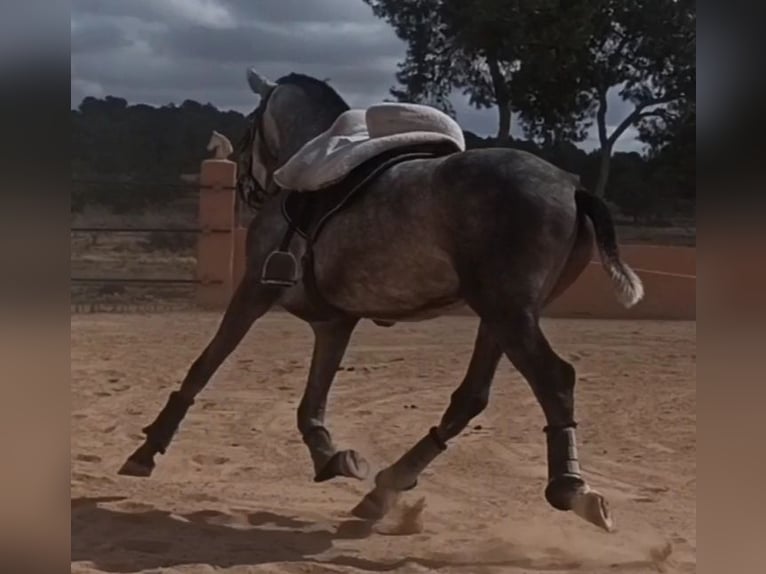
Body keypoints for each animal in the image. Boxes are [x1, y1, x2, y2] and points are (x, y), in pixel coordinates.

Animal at [120, 68, 644, 536]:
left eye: (249, 126)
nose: (249, 189)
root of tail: (574, 188)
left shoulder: (255, 289)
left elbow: (206, 365)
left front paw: (147, 451)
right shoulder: (335, 322)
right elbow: (311, 400)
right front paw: (332, 458)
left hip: (509, 312)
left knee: (554, 380)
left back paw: (571, 487)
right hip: (501, 315)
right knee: (470, 398)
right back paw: (385, 488)